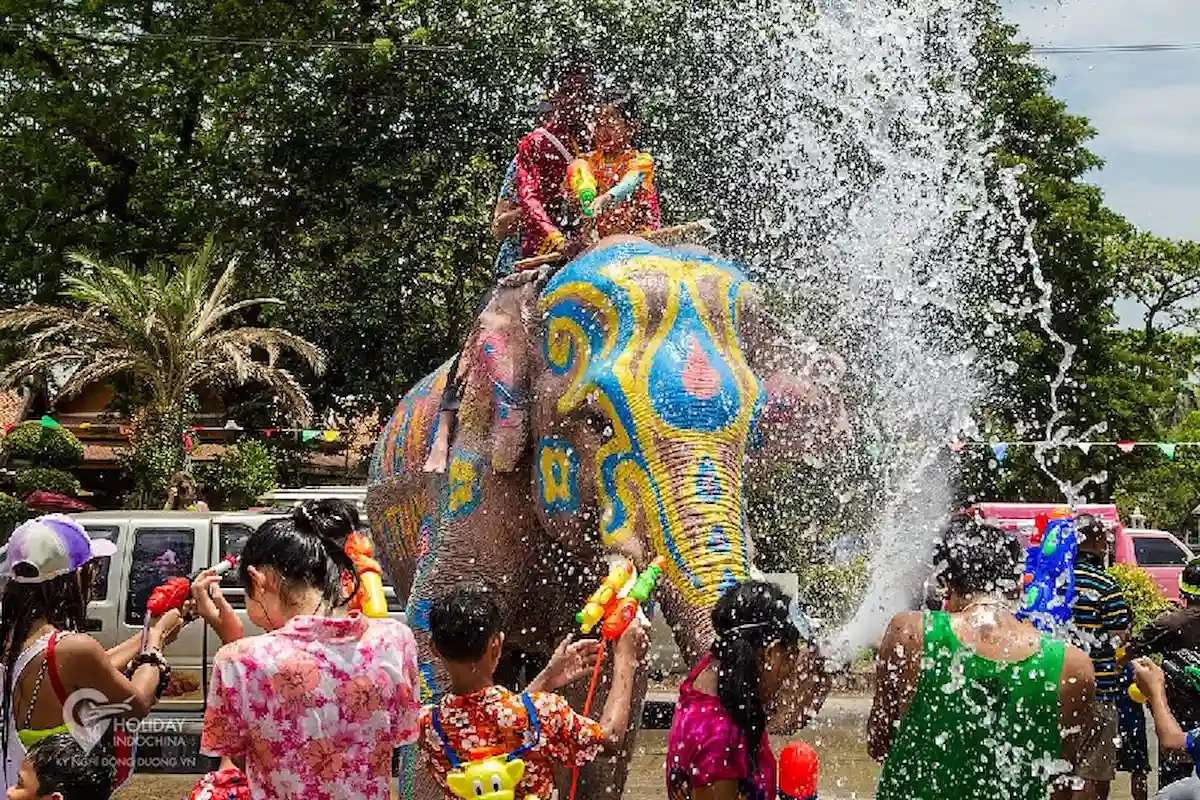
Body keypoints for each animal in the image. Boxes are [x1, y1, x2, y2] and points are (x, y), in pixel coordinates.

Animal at [369, 236, 849, 800]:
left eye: (753, 433)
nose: (796, 667)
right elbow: (435, 622)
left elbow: (597, 707)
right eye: (597, 423)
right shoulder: (473, 475)